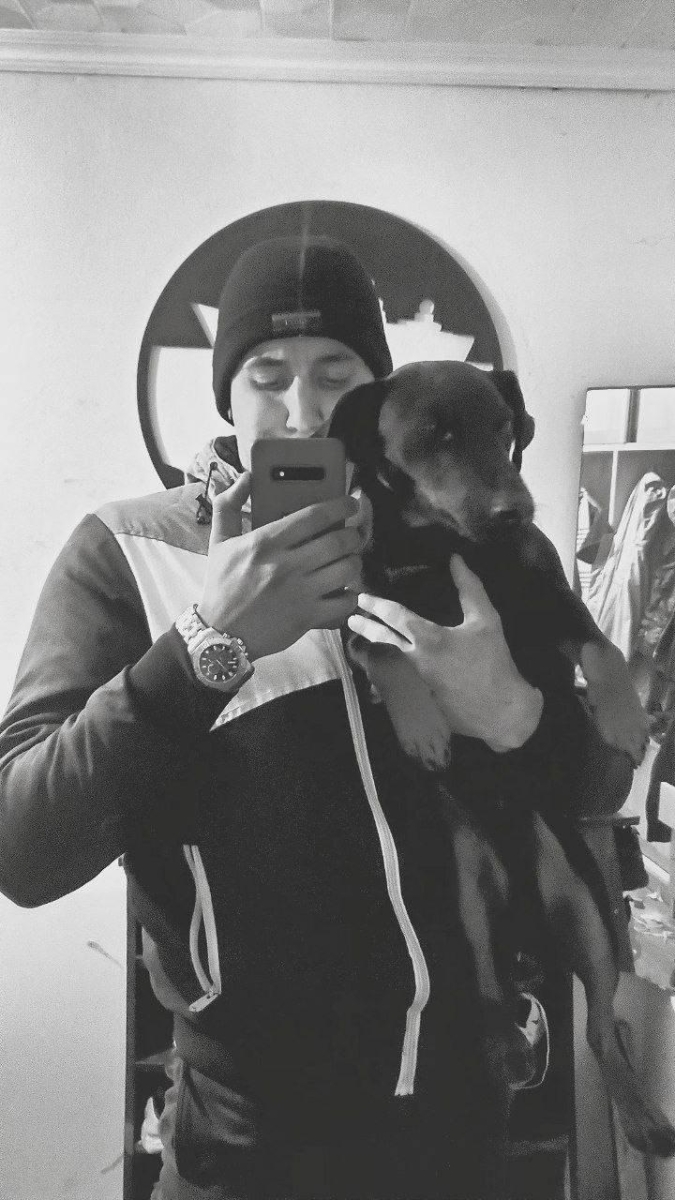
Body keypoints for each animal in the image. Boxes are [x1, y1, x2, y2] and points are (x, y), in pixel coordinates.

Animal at [329, 359, 675, 1158]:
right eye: (435, 437)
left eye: (503, 428)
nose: (514, 509)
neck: (447, 547)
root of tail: (526, 934)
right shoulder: (364, 614)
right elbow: (386, 653)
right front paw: (422, 725)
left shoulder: (546, 598)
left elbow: (600, 647)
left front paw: (620, 717)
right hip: (469, 912)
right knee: (491, 1000)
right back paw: (509, 1057)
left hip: (589, 917)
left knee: (599, 1028)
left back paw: (638, 1115)